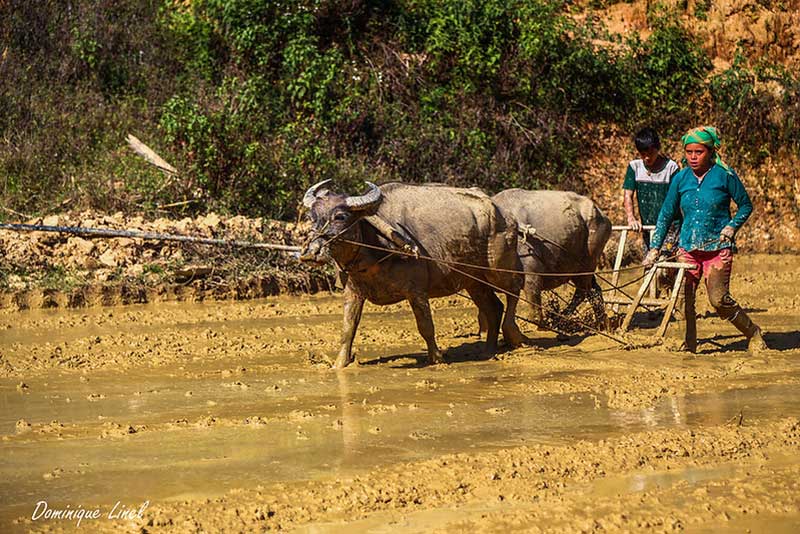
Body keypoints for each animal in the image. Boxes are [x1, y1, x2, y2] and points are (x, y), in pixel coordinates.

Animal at [300, 181, 524, 368]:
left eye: (340, 216)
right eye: (312, 217)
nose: (311, 252)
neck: (376, 246)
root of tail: (503, 214)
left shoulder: (416, 291)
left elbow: (426, 326)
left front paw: (437, 359)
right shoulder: (353, 292)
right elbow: (348, 329)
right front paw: (339, 364)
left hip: (499, 269)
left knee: (514, 290)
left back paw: (514, 334)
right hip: (474, 283)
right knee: (494, 308)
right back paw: (488, 350)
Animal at [488, 188, 612, 330]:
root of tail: (602, 215)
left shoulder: (531, 274)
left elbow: (534, 305)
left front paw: (539, 326)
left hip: (588, 261)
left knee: (583, 290)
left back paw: (560, 319)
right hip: (578, 267)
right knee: (594, 290)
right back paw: (602, 324)